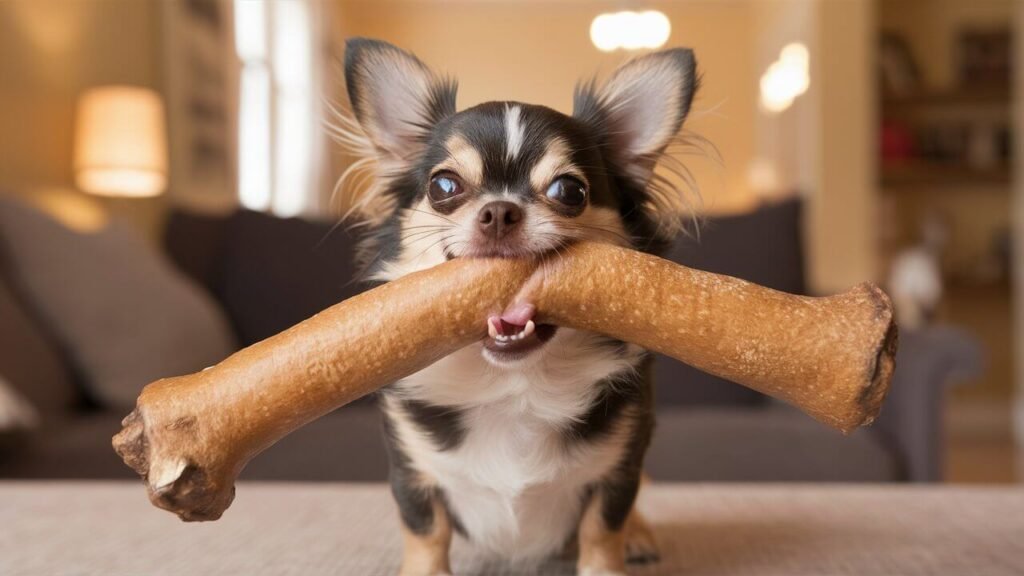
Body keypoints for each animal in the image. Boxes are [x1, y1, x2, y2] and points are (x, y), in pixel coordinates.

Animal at [339, 38, 700, 569]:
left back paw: (640, 537)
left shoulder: (621, 464)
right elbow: (426, 531)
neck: (513, 386)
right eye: (444, 186)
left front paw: (611, 559)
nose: (499, 211)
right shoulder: (411, 470)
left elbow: (602, 530)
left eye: (569, 190)